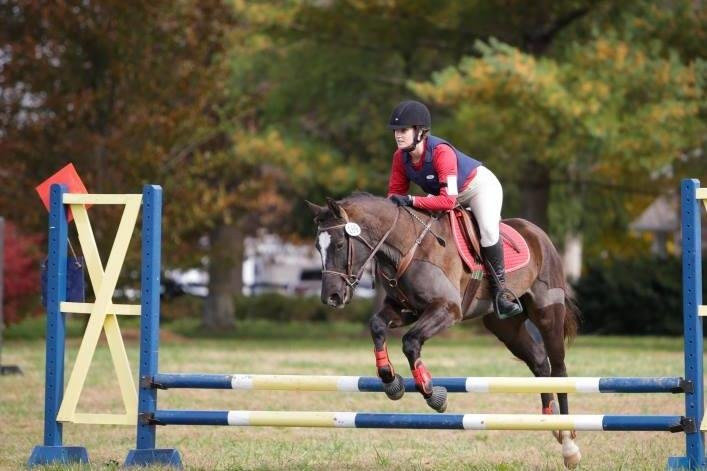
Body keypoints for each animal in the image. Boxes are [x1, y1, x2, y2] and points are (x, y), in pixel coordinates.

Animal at [308, 194, 580, 466]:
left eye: (340, 245)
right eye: (317, 247)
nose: (331, 297)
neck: (405, 247)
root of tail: (538, 233)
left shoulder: (447, 309)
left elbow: (411, 341)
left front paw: (432, 393)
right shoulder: (405, 310)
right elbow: (377, 326)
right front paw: (390, 379)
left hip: (547, 313)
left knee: (558, 369)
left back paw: (569, 444)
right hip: (504, 326)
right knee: (539, 362)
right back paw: (549, 419)